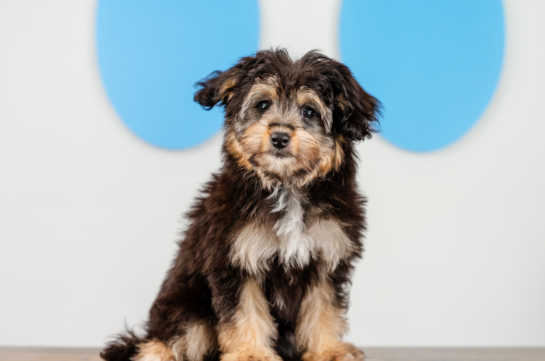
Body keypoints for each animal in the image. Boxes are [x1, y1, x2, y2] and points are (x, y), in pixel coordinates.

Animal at [100, 48, 378, 360]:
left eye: (309, 111)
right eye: (263, 104)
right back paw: (155, 352)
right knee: (175, 335)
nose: (279, 137)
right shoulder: (234, 257)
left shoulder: (327, 256)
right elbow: (244, 310)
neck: (286, 187)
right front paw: (250, 353)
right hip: (188, 305)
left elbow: (323, 306)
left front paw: (327, 349)